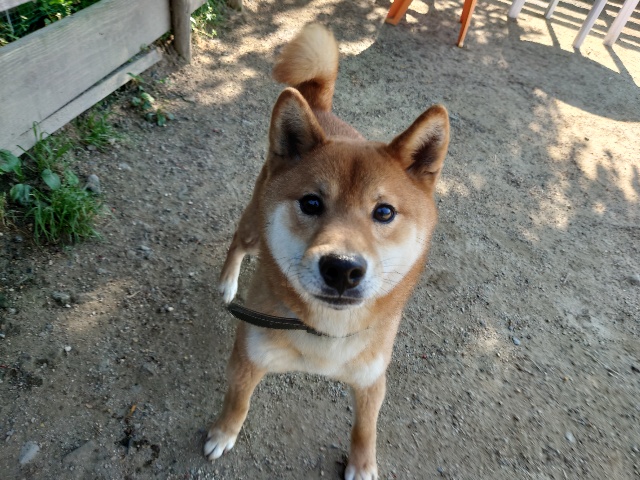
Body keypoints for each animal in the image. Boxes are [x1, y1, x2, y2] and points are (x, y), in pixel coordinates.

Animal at [204, 24, 450, 480]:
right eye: (312, 203)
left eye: (384, 212)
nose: (342, 269)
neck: (326, 334)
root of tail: (320, 109)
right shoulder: (247, 358)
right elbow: (237, 401)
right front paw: (222, 433)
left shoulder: (371, 379)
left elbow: (366, 427)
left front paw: (362, 465)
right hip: (253, 226)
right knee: (238, 243)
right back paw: (228, 284)